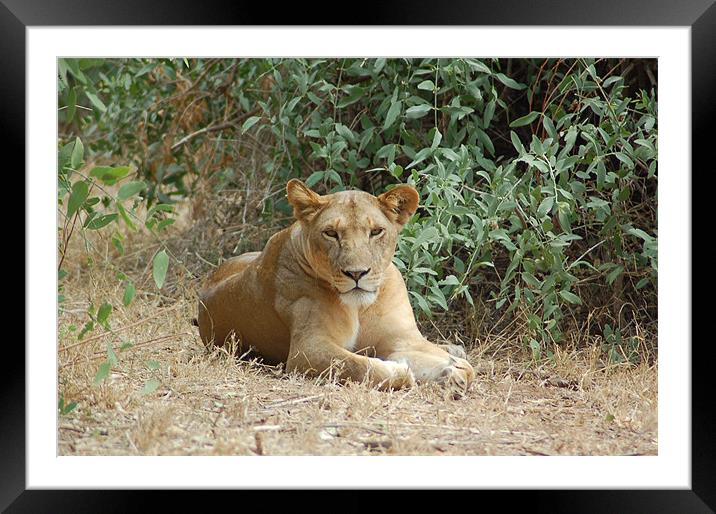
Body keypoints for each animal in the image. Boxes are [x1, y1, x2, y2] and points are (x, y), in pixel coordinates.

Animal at [196, 178, 476, 390]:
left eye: (376, 231)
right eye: (331, 233)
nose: (357, 273)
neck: (360, 307)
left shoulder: (402, 339)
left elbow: (454, 365)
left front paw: (452, 370)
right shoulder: (306, 350)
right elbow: (355, 365)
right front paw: (398, 371)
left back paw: (455, 350)